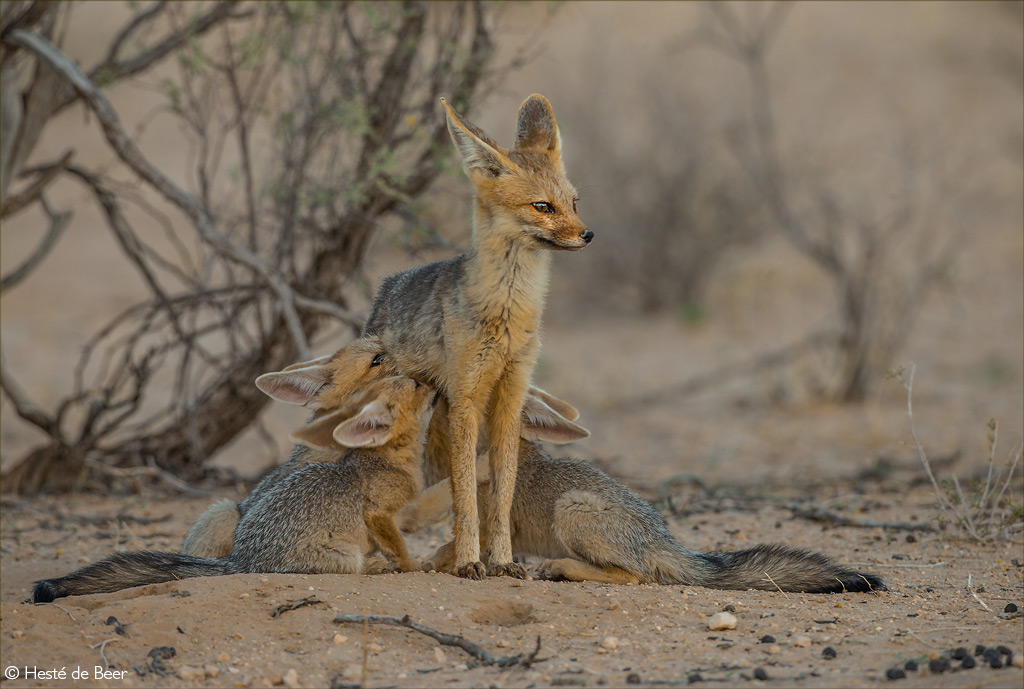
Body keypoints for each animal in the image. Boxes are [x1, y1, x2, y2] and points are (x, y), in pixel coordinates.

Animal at [33, 376, 432, 601]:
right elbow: (400, 548)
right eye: (415, 385)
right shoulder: (379, 514)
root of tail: (242, 559)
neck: (393, 459)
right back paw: (376, 567)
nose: (431, 383)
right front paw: (416, 565)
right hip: (345, 556)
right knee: (354, 568)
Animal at [360, 91, 593, 573]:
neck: (508, 313)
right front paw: (470, 561)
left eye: (574, 203)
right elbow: (465, 493)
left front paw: (501, 560)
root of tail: (387, 284)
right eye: (543, 207)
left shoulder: (510, 399)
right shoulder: (468, 399)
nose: (588, 234)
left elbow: (501, 494)